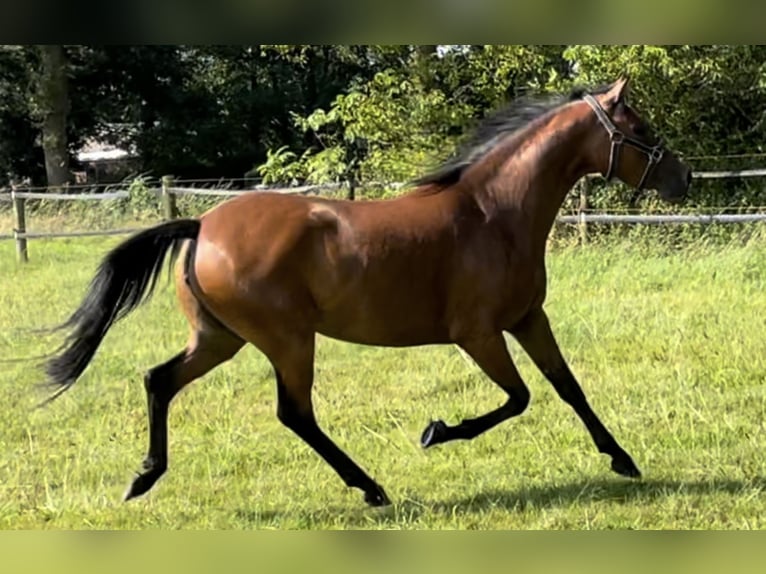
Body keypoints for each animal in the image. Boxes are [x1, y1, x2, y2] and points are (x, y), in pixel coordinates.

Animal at [39, 76, 692, 508]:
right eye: (641, 130)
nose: (683, 177)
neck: (495, 212)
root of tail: (202, 226)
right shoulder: (479, 334)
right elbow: (519, 398)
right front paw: (436, 432)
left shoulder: (530, 318)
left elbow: (567, 386)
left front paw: (623, 458)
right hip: (287, 339)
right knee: (294, 413)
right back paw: (371, 487)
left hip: (221, 338)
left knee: (160, 380)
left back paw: (144, 477)